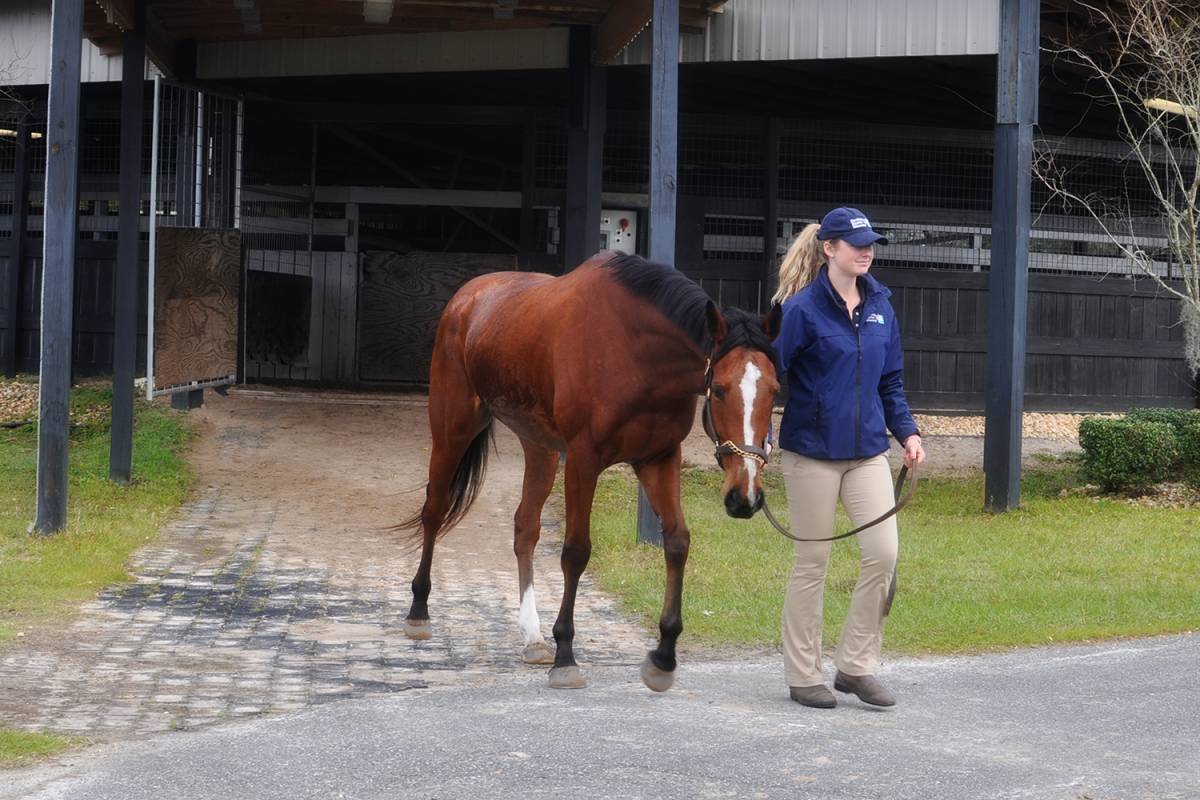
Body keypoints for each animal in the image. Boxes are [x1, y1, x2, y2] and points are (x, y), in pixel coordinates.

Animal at [398, 253, 782, 690]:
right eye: (718, 390)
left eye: (775, 390)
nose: (744, 497)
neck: (637, 353)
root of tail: (466, 297)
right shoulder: (583, 460)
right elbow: (576, 551)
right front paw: (565, 655)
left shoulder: (659, 459)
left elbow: (677, 542)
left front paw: (663, 656)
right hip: (453, 429)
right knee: (434, 510)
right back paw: (419, 611)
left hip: (540, 448)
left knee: (525, 528)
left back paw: (532, 637)